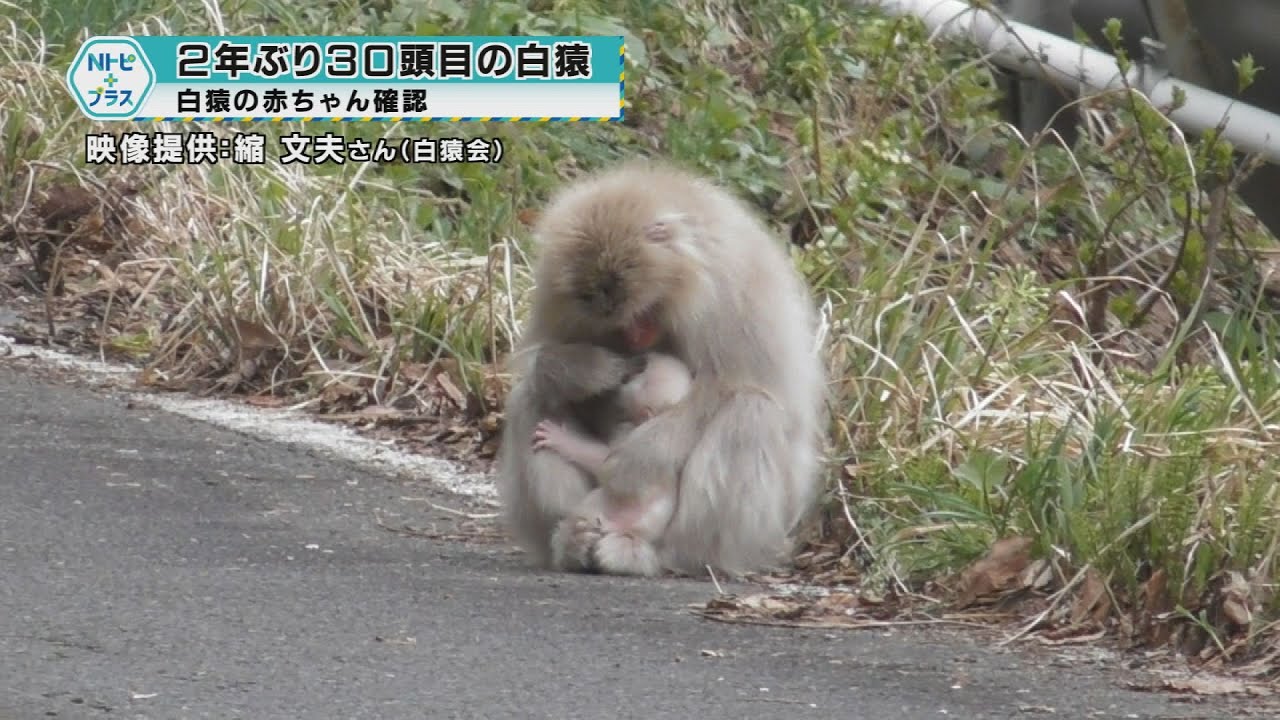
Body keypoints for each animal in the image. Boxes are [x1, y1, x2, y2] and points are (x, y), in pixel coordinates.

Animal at [496, 159, 827, 578]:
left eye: (639, 309)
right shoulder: (556, 295)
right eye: (603, 309)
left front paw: (631, 460)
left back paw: (668, 557)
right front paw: (584, 370)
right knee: (533, 394)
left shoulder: (729, 288)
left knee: (751, 411)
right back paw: (569, 541)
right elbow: (540, 358)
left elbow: (735, 385)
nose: (635, 336)